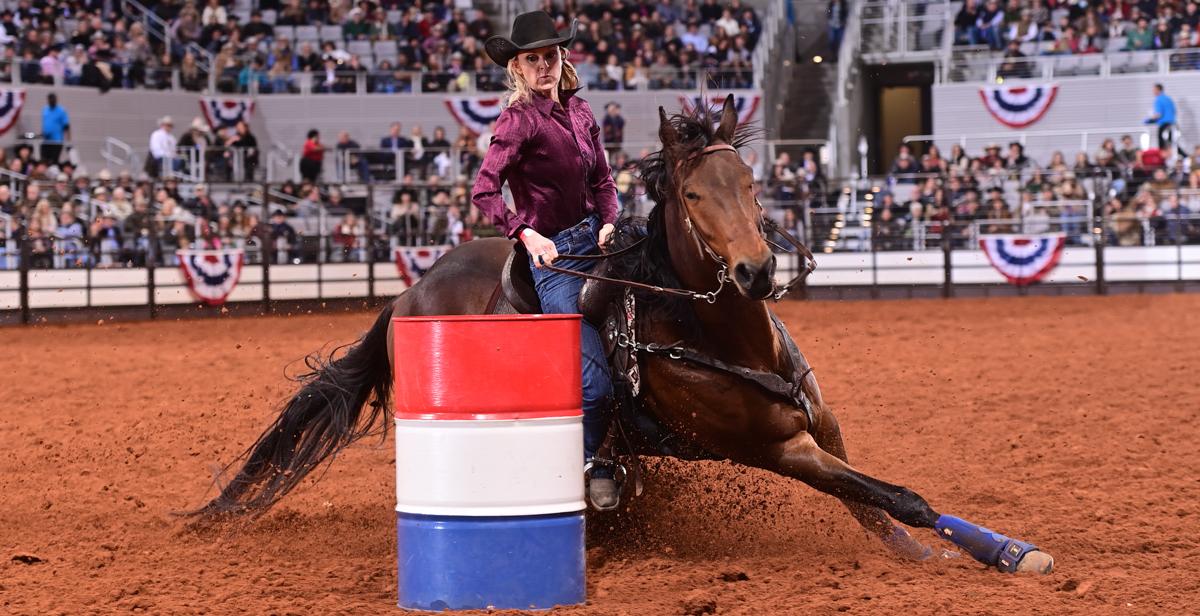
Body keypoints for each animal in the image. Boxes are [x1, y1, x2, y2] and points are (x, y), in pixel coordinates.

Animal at [194, 93, 1051, 573]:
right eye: (694, 195)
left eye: (749, 183)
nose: (756, 272)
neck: (727, 338)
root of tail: (409, 292)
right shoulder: (777, 448)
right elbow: (895, 495)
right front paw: (1002, 555)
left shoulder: (824, 422)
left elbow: (874, 504)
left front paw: (926, 553)